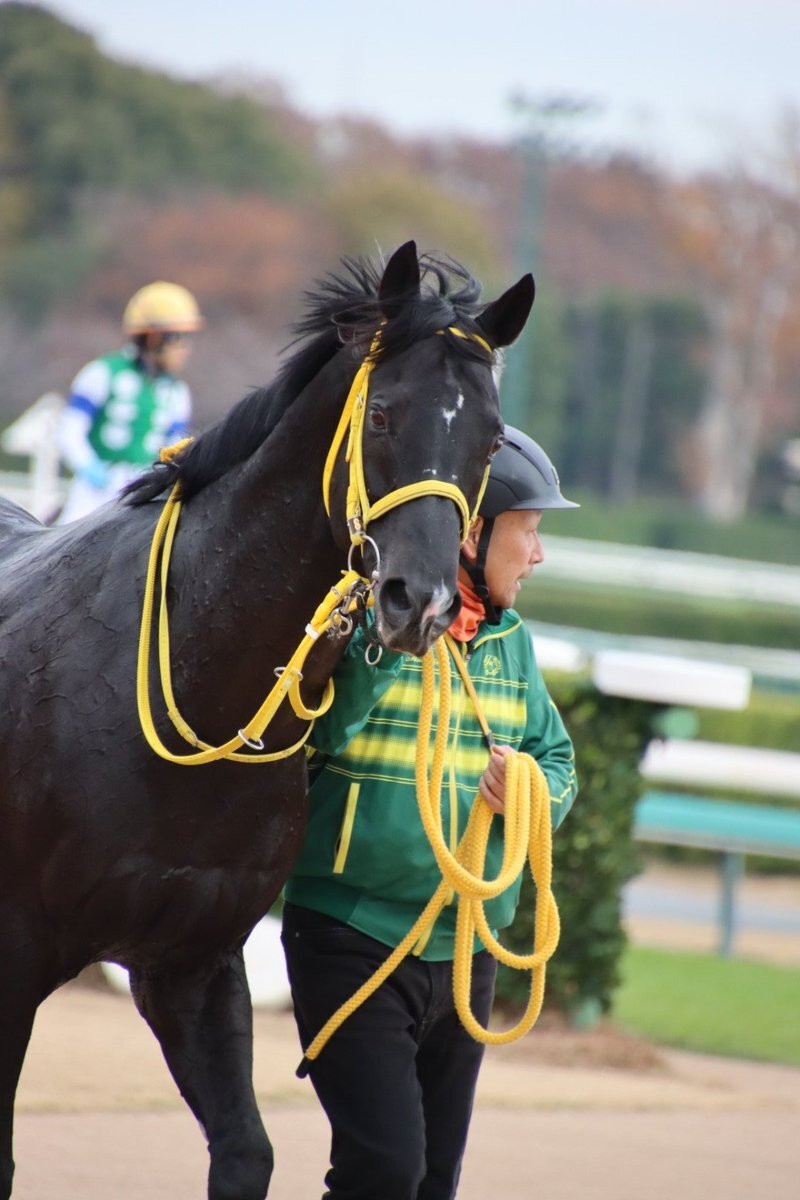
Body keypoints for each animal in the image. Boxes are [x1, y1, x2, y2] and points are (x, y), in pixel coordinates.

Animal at [0, 240, 533, 1199]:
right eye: (384, 415)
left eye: (489, 436)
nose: (422, 601)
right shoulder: (15, 955)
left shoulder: (193, 964)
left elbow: (247, 1151)